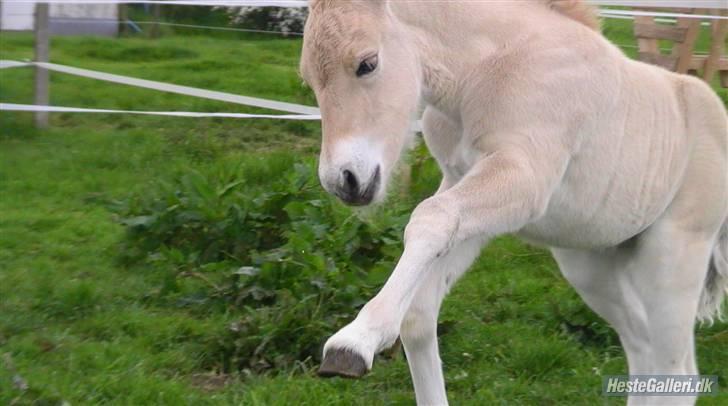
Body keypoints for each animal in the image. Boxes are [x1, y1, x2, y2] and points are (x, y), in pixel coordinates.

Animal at [298, 1, 728, 404]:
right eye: (308, 79)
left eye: (367, 64)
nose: (343, 181)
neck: (490, 69)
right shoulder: (467, 185)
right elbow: (419, 311)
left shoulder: (524, 180)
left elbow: (430, 218)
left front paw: (355, 341)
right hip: (593, 264)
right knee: (643, 352)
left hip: (672, 259)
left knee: (677, 372)